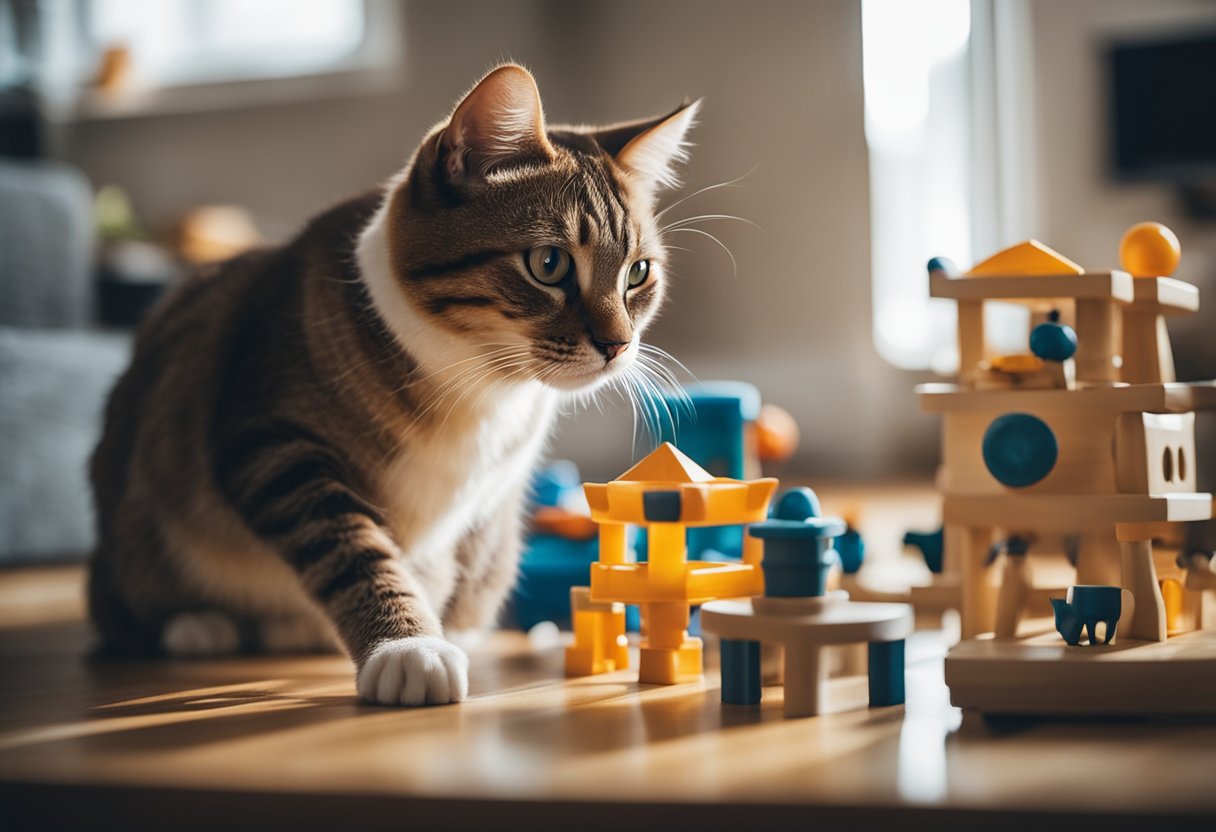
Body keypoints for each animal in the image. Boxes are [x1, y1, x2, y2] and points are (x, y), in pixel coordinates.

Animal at [89, 65, 700, 705]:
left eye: (638, 273)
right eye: (549, 264)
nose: (618, 345)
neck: (481, 381)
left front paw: (452, 626)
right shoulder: (270, 439)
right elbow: (354, 550)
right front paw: (410, 647)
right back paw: (197, 625)